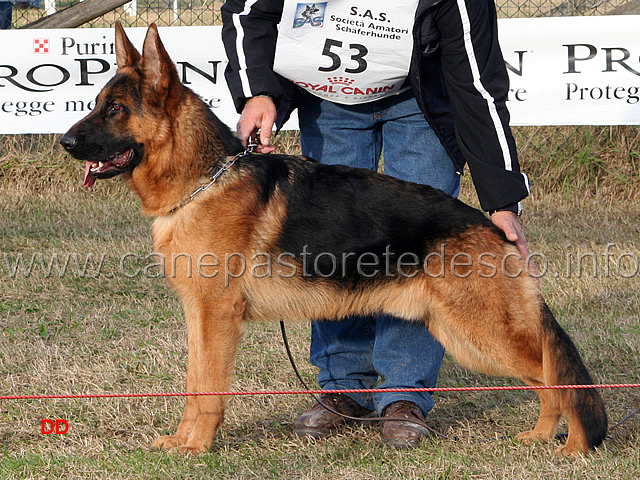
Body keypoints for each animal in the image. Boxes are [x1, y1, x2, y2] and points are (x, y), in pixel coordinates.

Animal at [61, 25, 608, 454]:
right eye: (96, 105)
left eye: (114, 109)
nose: (64, 142)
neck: (204, 179)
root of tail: (497, 228)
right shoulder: (199, 316)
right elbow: (195, 384)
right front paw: (182, 441)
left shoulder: (216, 317)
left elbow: (209, 389)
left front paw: (196, 447)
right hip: (462, 334)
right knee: (549, 378)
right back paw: (541, 437)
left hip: (479, 335)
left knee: (560, 377)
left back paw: (574, 446)